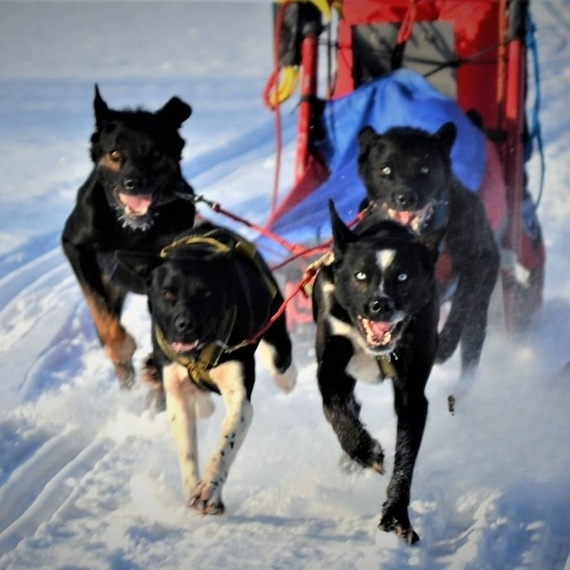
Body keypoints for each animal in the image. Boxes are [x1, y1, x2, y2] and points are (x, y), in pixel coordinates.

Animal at [61, 85, 196, 386]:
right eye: (115, 153)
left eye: (156, 153)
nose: (134, 182)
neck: (131, 229)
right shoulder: (75, 246)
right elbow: (98, 309)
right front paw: (121, 348)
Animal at [113, 220, 296, 512]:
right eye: (168, 293)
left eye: (205, 292)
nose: (184, 324)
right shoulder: (176, 391)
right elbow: (186, 449)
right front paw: (192, 488)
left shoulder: (239, 397)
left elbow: (225, 445)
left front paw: (209, 490)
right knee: (201, 405)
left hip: (276, 333)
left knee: (281, 365)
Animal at [310, 202, 440, 544]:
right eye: (361, 275)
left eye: (403, 276)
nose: (379, 305)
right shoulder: (332, 369)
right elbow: (335, 409)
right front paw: (363, 449)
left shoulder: (411, 393)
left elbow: (406, 456)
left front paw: (396, 515)